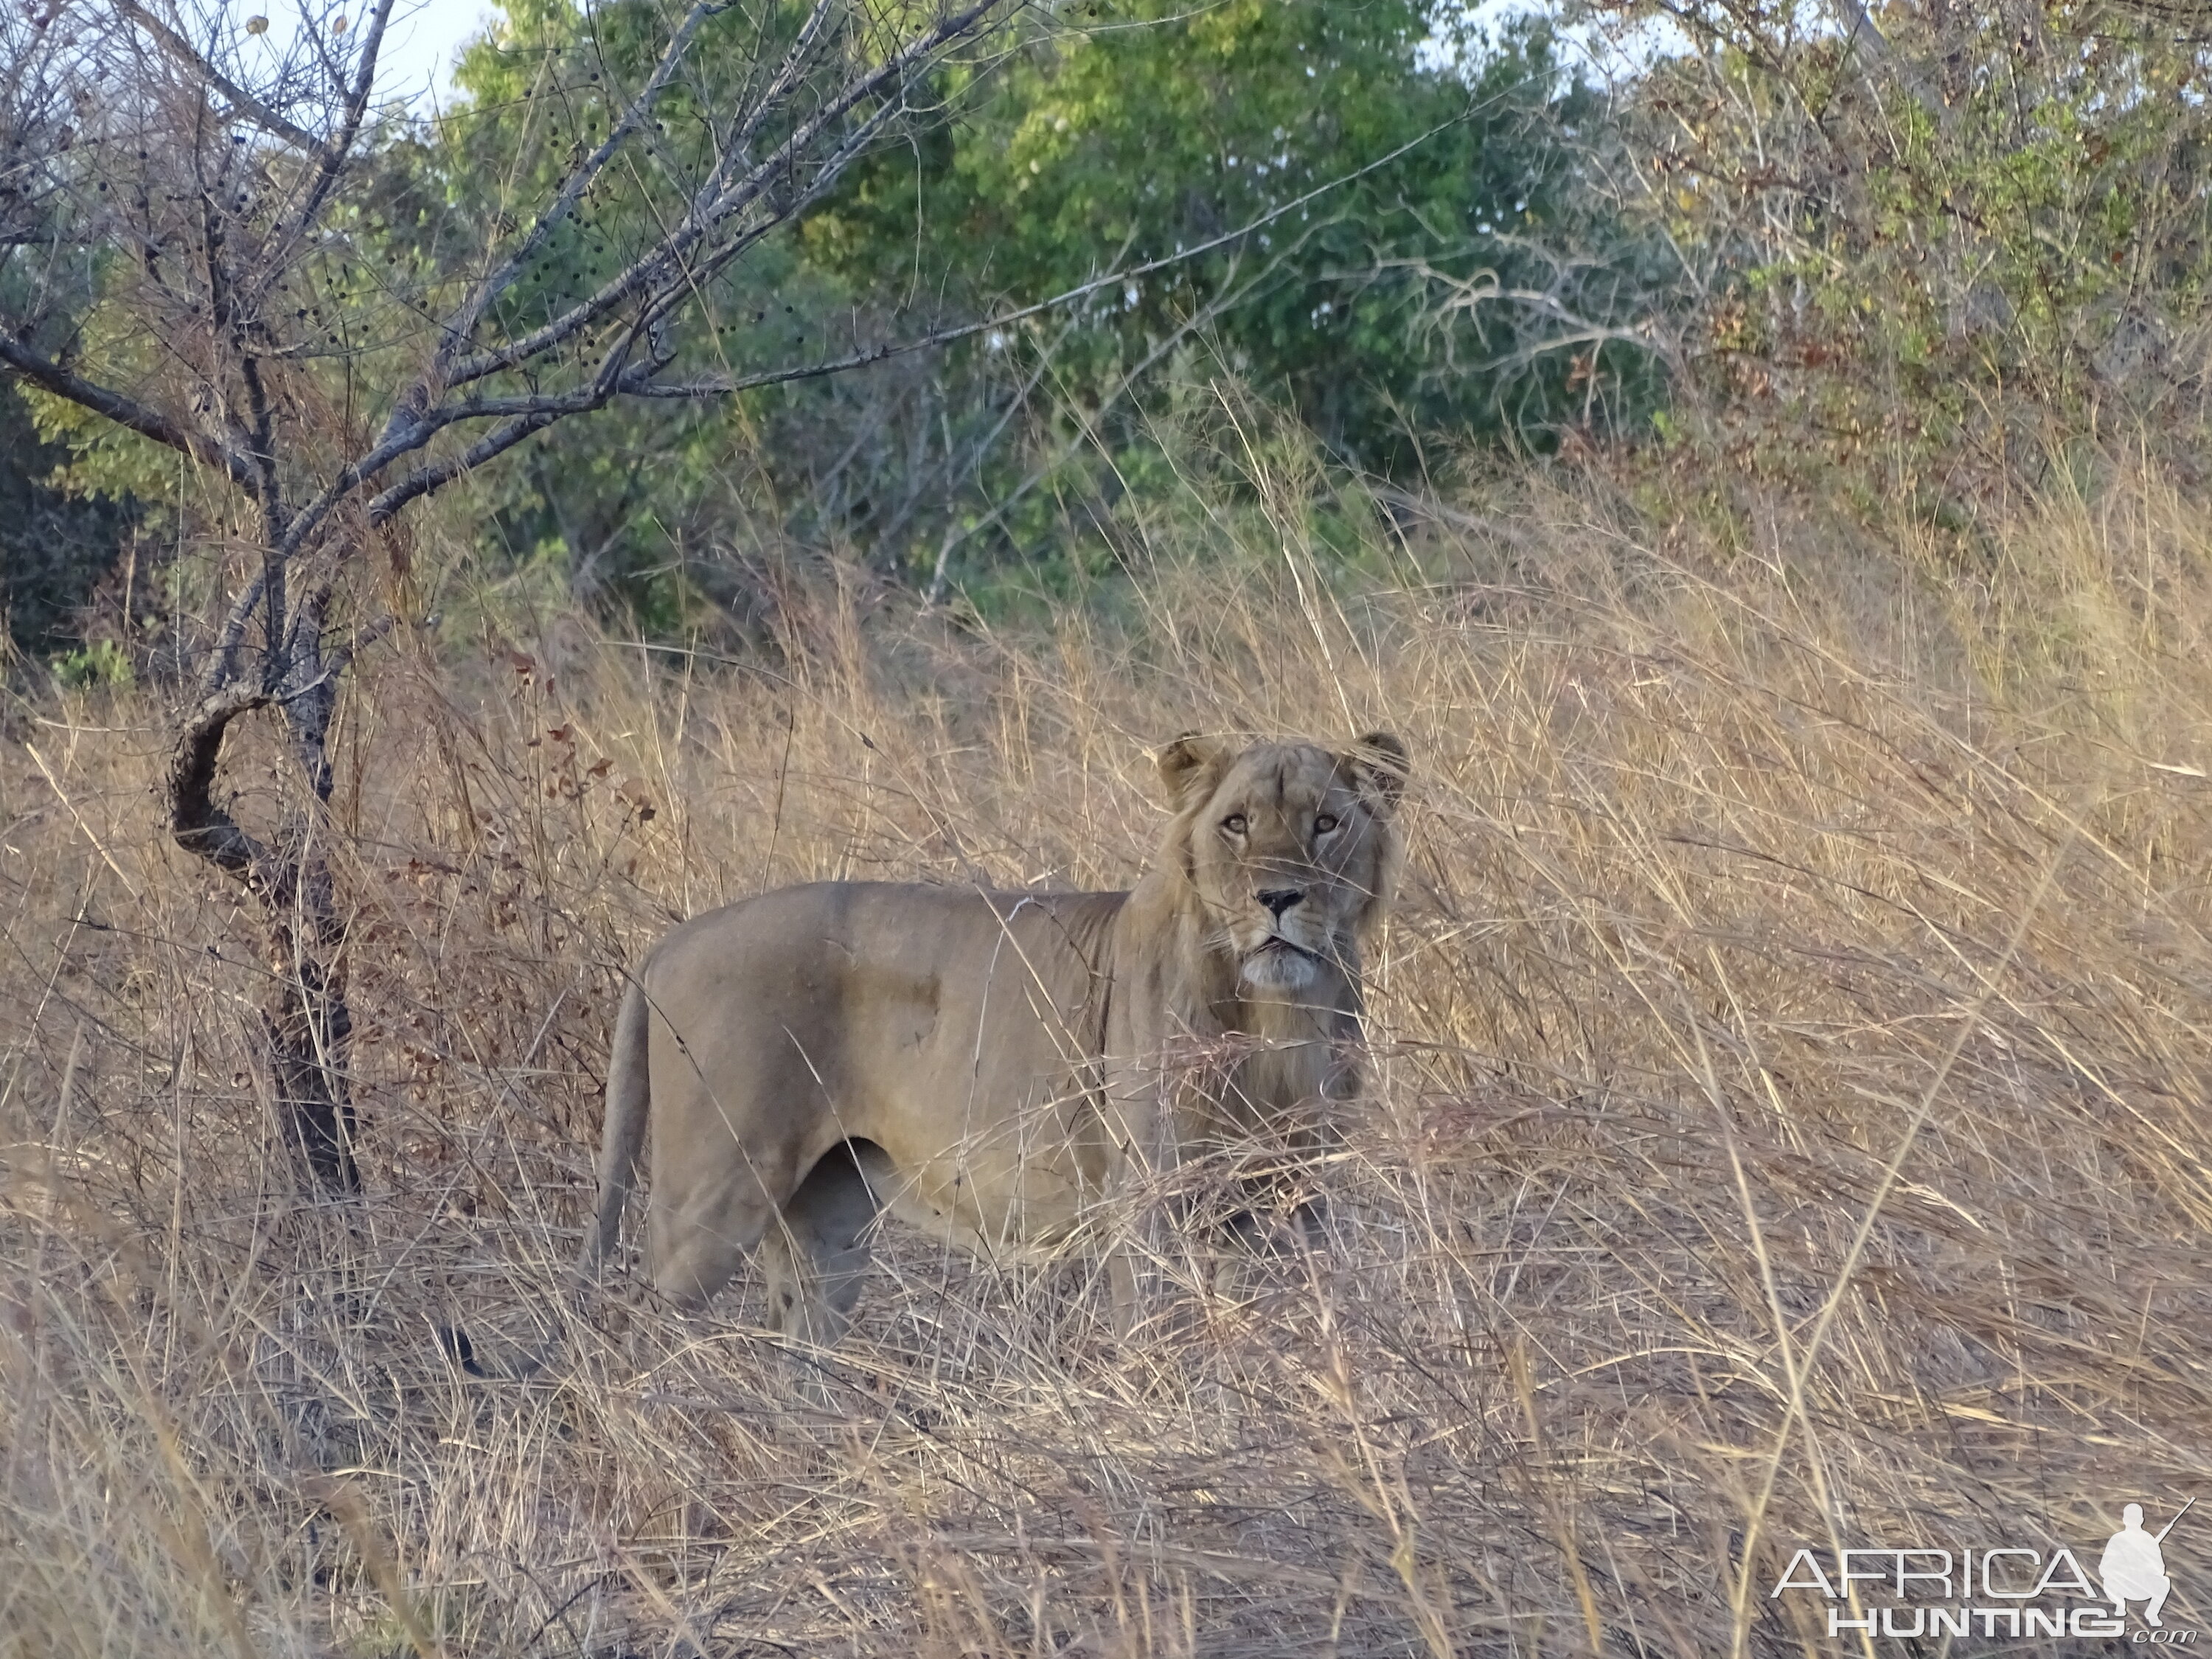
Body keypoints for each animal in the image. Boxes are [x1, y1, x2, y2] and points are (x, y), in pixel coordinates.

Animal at [580, 734, 1407, 1345]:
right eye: (1236, 823)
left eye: (1325, 824)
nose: (1278, 897)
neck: (1275, 1017)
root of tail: (667, 943)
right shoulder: (1148, 1202)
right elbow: (1156, 1333)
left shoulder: (1299, 1196)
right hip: (713, 1194)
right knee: (638, 1324)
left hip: (827, 1219)